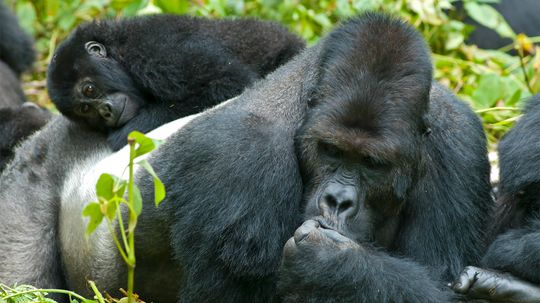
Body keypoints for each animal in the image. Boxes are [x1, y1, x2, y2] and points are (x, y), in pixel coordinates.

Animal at [46, 15, 304, 151]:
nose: (105, 111)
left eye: (89, 89)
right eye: (85, 109)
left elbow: (228, 82)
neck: (119, 50)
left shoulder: (156, 51)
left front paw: (124, 133)